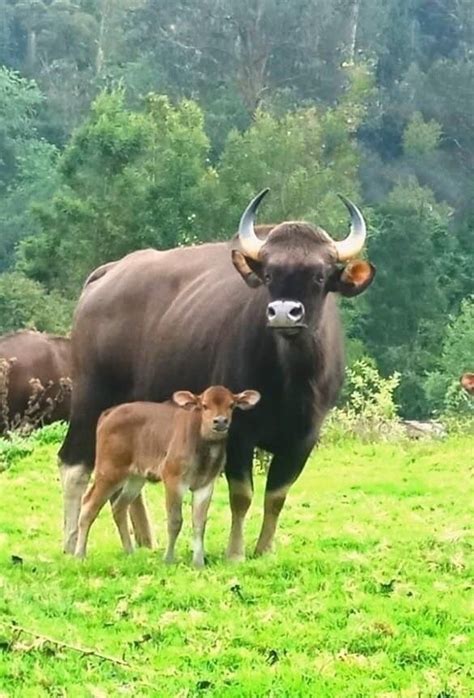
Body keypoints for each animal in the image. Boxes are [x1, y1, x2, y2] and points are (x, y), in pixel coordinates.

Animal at [74, 386, 260, 564]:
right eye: (204, 405)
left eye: (231, 405)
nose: (220, 421)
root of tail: (107, 414)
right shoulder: (173, 478)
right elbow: (175, 520)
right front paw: (168, 559)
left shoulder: (206, 483)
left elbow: (199, 522)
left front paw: (198, 562)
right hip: (109, 469)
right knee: (89, 503)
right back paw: (79, 555)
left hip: (135, 476)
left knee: (119, 506)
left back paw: (130, 551)